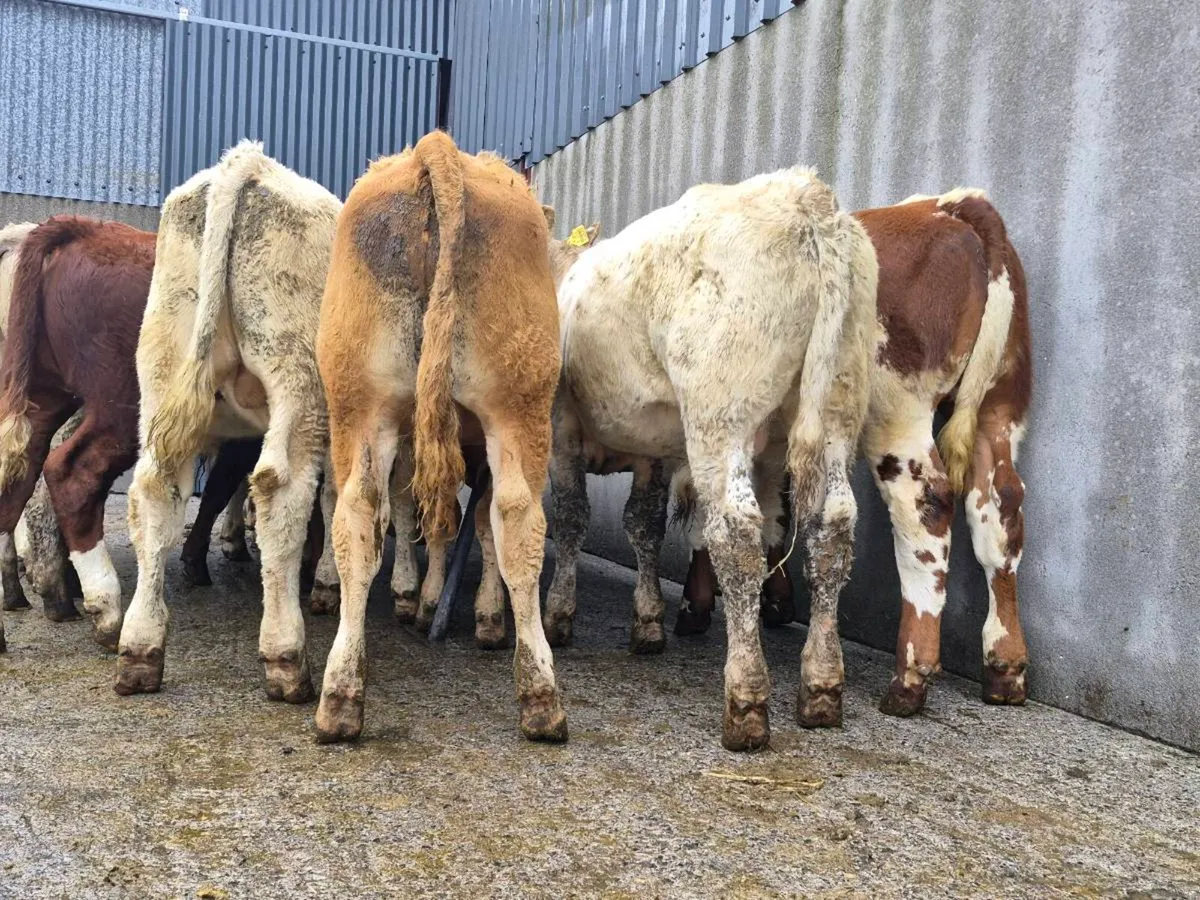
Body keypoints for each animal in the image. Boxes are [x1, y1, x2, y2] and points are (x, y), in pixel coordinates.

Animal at [0, 217, 156, 652]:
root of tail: (84, 228)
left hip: (40, 394)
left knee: (17, 474)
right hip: (121, 401)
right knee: (73, 474)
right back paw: (105, 611)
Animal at [113, 141, 341, 703]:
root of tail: (247, 164)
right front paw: (324, 581)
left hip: (163, 367)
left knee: (155, 489)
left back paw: (140, 650)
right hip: (299, 378)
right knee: (281, 487)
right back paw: (287, 659)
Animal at [315, 130, 564, 744]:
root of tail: (438, 150)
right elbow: (472, 527)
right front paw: (472, 613)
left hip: (362, 404)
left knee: (358, 516)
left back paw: (340, 697)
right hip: (520, 407)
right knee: (517, 521)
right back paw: (541, 697)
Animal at [535, 169, 877, 751]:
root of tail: (808, 198)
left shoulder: (562, 428)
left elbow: (573, 518)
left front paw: (560, 613)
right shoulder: (652, 446)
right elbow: (644, 525)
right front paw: (648, 621)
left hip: (720, 411)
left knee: (736, 535)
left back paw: (746, 698)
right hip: (836, 411)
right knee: (832, 528)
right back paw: (821, 686)